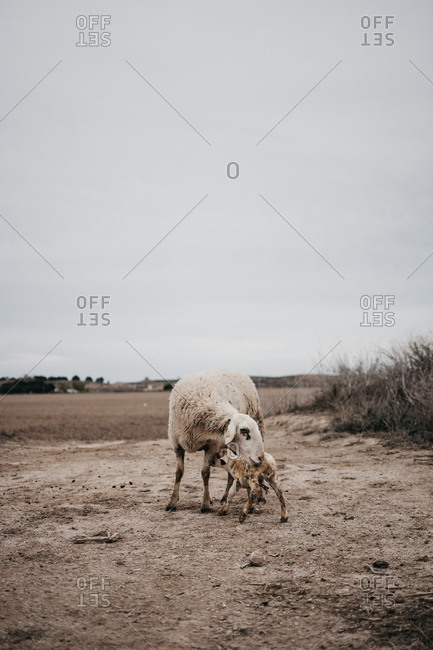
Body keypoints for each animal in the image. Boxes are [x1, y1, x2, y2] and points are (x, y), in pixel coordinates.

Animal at [165, 369, 266, 513]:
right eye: (244, 431)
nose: (260, 457)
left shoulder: (211, 446)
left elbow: (205, 473)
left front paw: (205, 504)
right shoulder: (176, 445)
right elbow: (179, 472)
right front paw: (172, 502)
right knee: (231, 473)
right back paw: (224, 498)